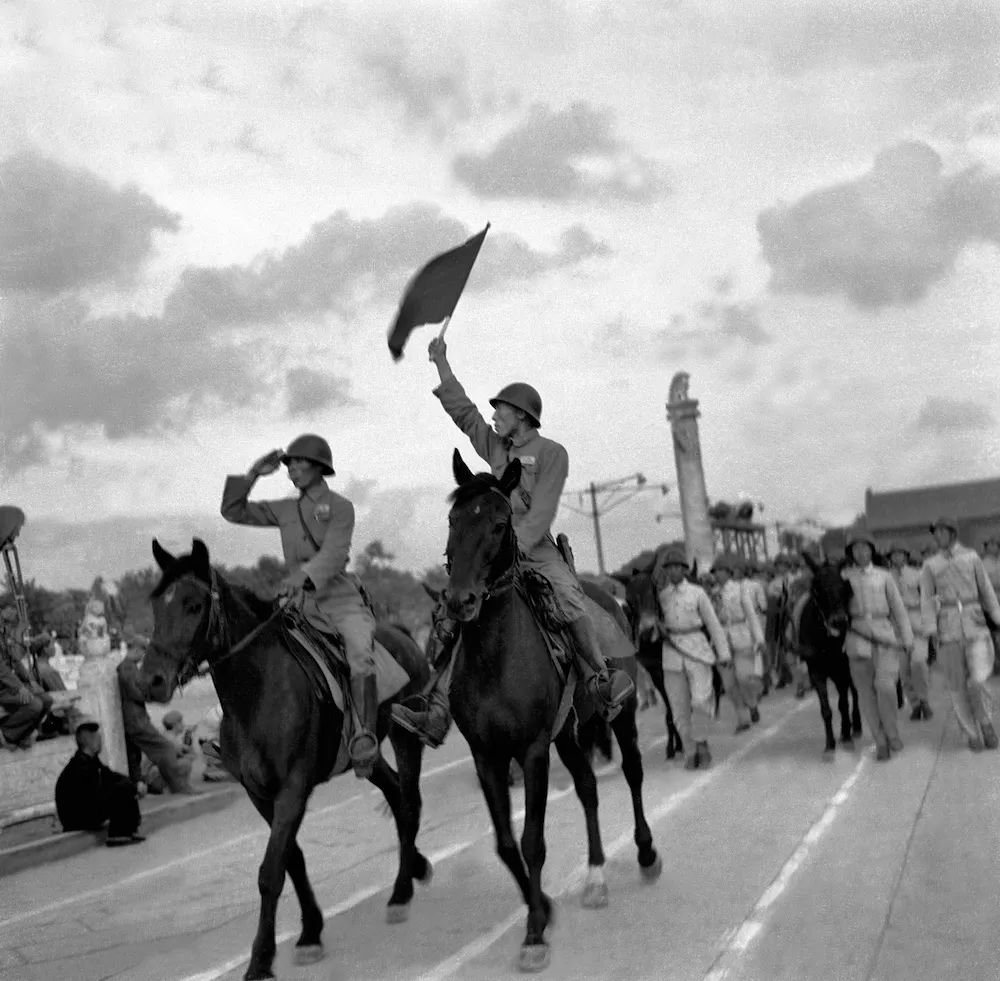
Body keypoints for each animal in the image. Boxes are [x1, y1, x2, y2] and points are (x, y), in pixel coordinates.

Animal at [142, 540, 434, 980]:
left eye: (193, 605)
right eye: (157, 605)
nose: (151, 680)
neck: (257, 693)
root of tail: (402, 634)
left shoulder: (293, 789)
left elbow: (270, 871)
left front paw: (261, 958)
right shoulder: (260, 794)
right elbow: (291, 859)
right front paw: (310, 930)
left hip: (406, 737)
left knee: (411, 801)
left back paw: (401, 892)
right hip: (367, 757)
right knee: (397, 796)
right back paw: (414, 868)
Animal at [446, 454, 664, 972]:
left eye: (499, 524)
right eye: (453, 521)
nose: (461, 600)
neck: (494, 658)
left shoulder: (531, 752)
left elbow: (532, 841)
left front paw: (533, 935)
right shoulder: (488, 757)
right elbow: (506, 844)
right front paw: (541, 908)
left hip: (618, 715)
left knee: (632, 771)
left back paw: (646, 852)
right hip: (567, 733)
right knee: (587, 788)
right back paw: (596, 876)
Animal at [796, 552, 860, 756]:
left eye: (843, 587)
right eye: (818, 589)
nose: (839, 621)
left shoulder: (843, 669)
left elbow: (843, 703)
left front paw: (846, 735)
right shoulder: (816, 671)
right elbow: (826, 709)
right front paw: (830, 744)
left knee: (855, 693)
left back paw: (856, 726)